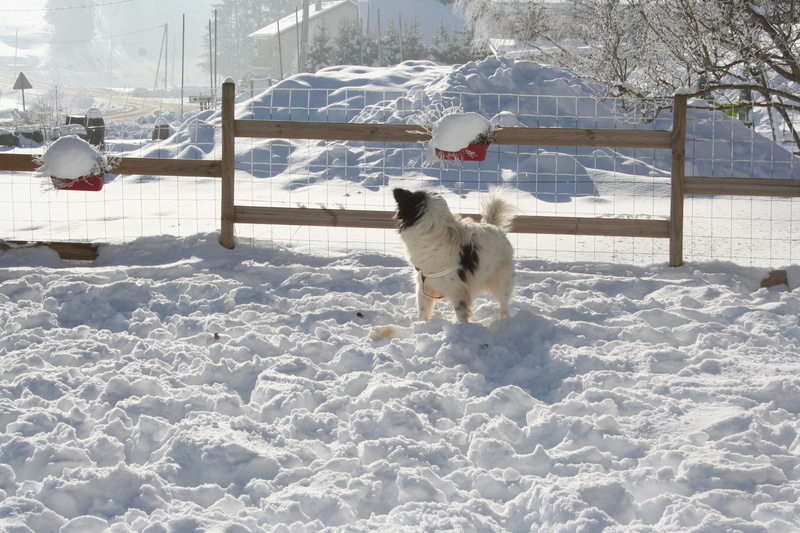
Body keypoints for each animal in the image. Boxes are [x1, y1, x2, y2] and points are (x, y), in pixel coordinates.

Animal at [392, 189, 512, 322]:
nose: (396, 191)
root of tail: (494, 226)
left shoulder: (458, 291)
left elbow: (462, 314)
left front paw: (462, 327)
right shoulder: (425, 286)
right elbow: (423, 312)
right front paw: (420, 325)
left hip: (502, 280)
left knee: (504, 302)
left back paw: (505, 319)